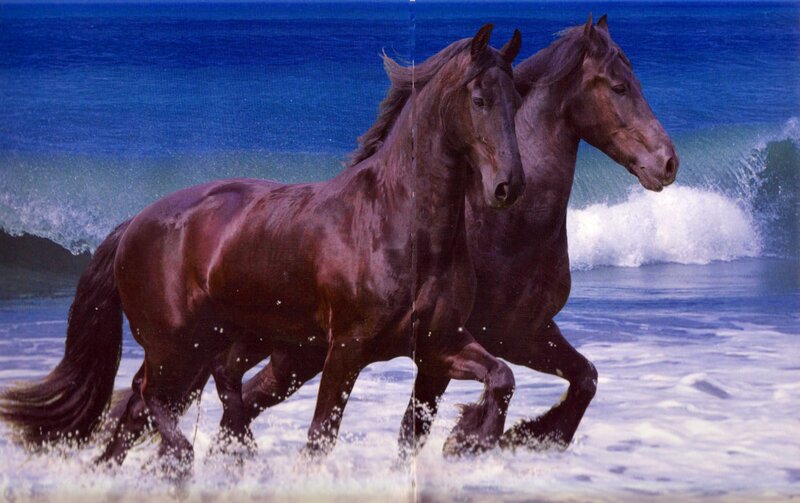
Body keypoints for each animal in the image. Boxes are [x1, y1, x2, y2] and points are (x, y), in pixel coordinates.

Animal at [0, 24, 526, 468]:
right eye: (480, 99)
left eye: (517, 100)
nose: (509, 186)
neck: (399, 227)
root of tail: (133, 223)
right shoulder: (347, 350)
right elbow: (320, 438)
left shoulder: (438, 349)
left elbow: (493, 382)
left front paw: (468, 439)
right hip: (177, 346)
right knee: (147, 395)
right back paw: (188, 458)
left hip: (251, 349)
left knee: (174, 401)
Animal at [227, 15, 679, 457]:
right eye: (620, 87)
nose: (668, 162)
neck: (510, 230)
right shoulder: (458, 348)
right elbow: (413, 431)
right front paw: (470, 439)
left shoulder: (527, 334)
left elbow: (586, 377)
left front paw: (522, 436)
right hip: (297, 354)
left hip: (299, 354)